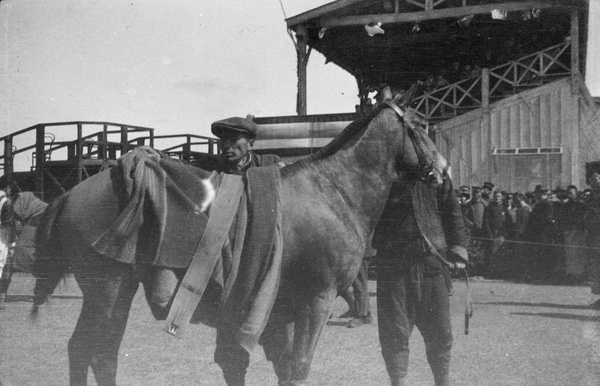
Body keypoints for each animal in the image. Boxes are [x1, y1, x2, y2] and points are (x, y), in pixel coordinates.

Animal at [31, 95, 446, 384]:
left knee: (84, 352)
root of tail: (70, 194)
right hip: (109, 292)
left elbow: (278, 366)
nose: (443, 169)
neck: (333, 190)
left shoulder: (284, 308)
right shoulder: (317, 299)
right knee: (96, 354)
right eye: (421, 124)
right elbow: (299, 367)